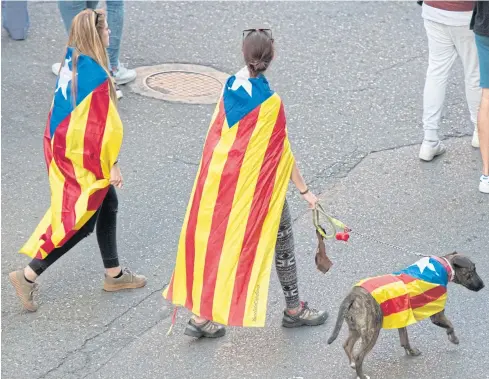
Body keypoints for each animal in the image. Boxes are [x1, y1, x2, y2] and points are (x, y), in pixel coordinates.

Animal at [326, 252, 482, 379]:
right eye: (472, 270)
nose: (483, 285)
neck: (443, 265)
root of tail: (353, 295)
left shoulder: (402, 316)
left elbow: (404, 339)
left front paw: (411, 351)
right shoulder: (436, 314)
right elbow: (450, 325)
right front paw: (453, 338)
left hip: (356, 329)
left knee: (347, 345)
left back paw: (352, 363)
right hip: (372, 332)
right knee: (359, 356)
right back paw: (361, 375)